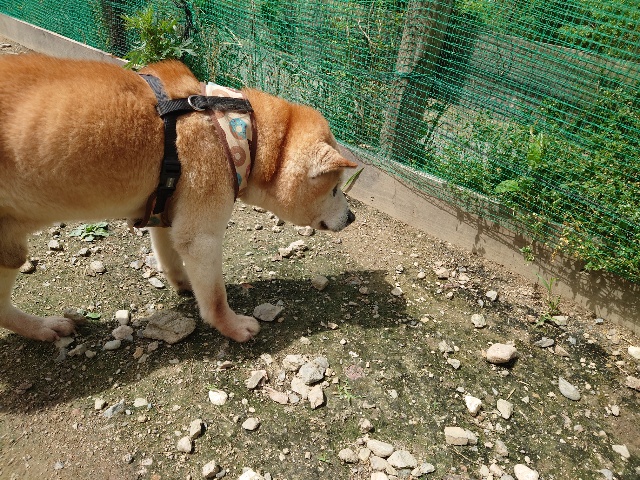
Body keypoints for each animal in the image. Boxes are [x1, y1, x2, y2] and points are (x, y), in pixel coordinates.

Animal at [0, 54, 357, 343]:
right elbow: (215, 298)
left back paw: (43, 327)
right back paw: (44, 327)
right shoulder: (201, 236)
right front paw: (233, 326)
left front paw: (184, 283)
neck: (235, 131)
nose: (352, 217)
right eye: (334, 189)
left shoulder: (163, 211)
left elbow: (170, 256)